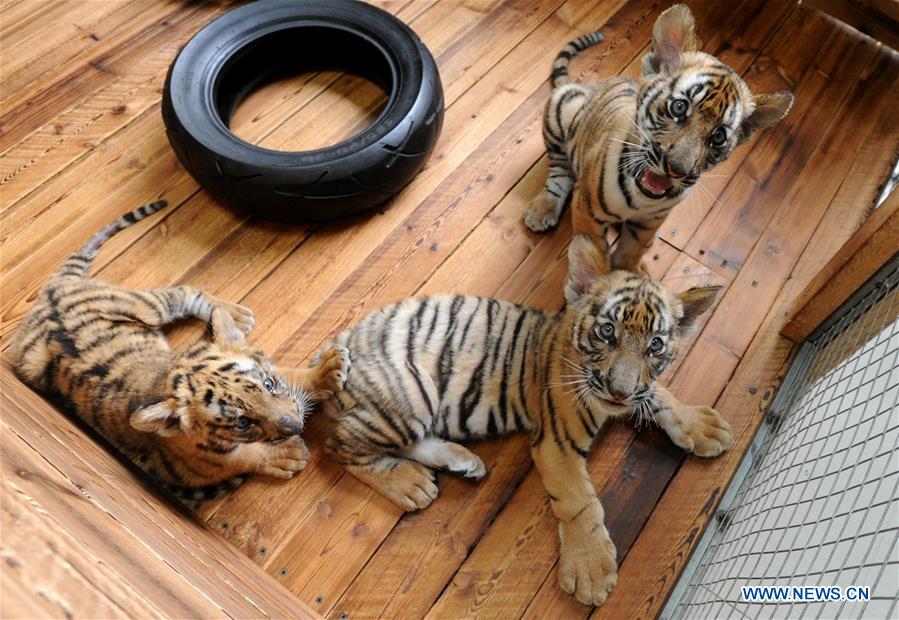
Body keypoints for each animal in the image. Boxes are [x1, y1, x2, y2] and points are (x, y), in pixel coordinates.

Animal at [10, 200, 349, 501]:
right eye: (241, 422)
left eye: (267, 384)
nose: (297, 425)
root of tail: (51, 290)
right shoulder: (209, 465)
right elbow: (244, 456)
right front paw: (288, 454)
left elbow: (290, 375)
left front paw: (328, 370)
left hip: (146, 307)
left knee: (186, 292)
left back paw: (232, 316)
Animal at [319, 234, 733, 606]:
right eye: (606, 332)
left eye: (655, 346)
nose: (620, 392)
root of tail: (330, 349)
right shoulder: (558, 441)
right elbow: (581, 501)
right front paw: (591, 570)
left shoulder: (636, 391)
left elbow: (659, 394)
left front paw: (702, 425)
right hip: (411, 392)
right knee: (339, 445)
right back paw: (409, 483)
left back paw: (461, 461)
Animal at [524, 4, 794, 273]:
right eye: (679, 107)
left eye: (719, 136)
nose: (676, 170)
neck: (642, 200)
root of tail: (587, 87)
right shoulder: (588, 211)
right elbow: (592, 252)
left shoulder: (647, 224)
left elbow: (629, 253)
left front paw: (629, 273)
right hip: (562, 106)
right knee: (559, 169)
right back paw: (542, 210)